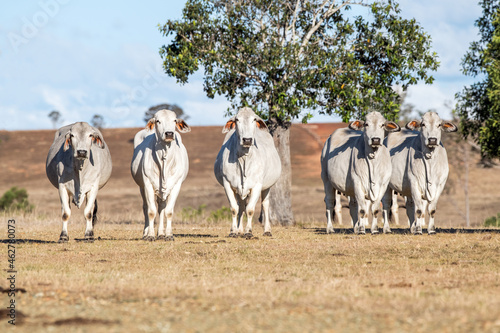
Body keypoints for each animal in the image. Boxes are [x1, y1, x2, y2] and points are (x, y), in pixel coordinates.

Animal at [130, 110, 190, 240]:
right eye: (158, 121)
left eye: (174, 120)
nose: (169, 133)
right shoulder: (147, 184)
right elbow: (151, 211)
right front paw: (150, 235)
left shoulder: (176, 185)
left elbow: (168, 211)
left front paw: (168, 235)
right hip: (142, 188)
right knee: (146, 207)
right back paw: (146, 232)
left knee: (162, 207)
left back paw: (161, 233)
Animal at [213, 107, 282, 236]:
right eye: (237, 120)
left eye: (254, 119)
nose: (247, 140)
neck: (244, 158)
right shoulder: (227, 183)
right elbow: (234, 208)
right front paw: (234, 231)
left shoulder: (257, 185)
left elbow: (250, 209)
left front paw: (249, 231)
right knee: (241, 205)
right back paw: (239, 229)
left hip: (267, 187)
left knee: (265, 205)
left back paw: (267, 230)